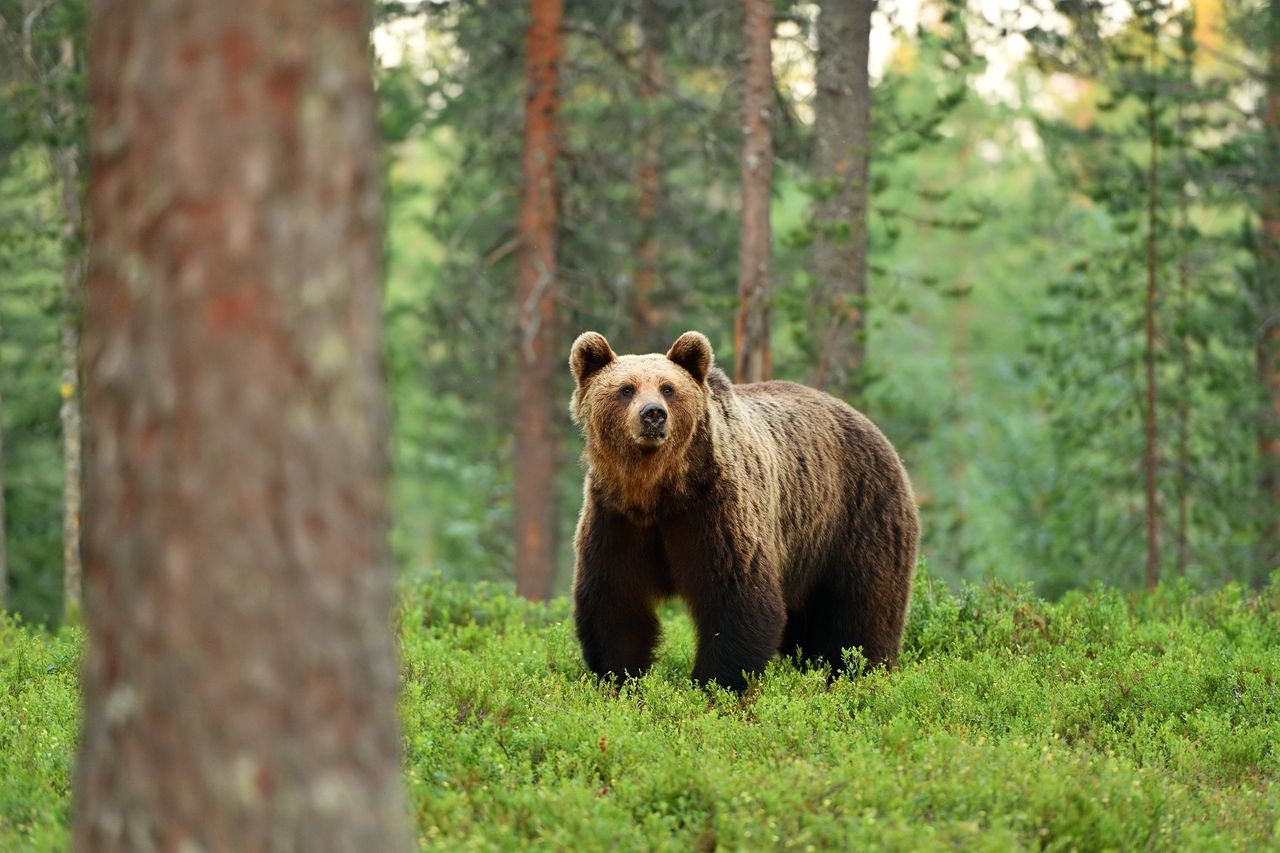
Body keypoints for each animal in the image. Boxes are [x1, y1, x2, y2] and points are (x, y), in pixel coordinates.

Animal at [570, 327, 921, 686]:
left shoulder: (714, 510)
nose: (653, 413)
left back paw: (861, 672)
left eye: (668, 388)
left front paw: (714, 683)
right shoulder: (616, 517)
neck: (658, 491)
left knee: (863, 609)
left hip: (857, 515)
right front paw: (619, 678)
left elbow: (737, 600)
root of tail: (873, 428)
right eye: (626, 389)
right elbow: (616, 604)